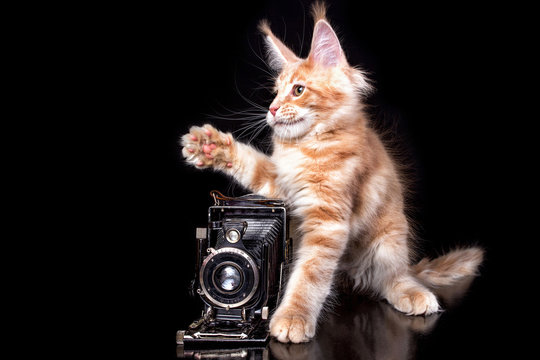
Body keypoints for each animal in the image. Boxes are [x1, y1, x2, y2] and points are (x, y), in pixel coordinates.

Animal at [179, 2, 484, 344]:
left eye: (298, 90)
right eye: (274, 93)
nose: (272, 109)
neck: (308, 146)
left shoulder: (328, 220)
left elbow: (310, 275)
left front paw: (293, 317)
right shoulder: (279, 187)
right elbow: (251, 162)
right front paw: (208, 146)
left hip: (388, 240)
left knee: (391, 278)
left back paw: (412, 293)